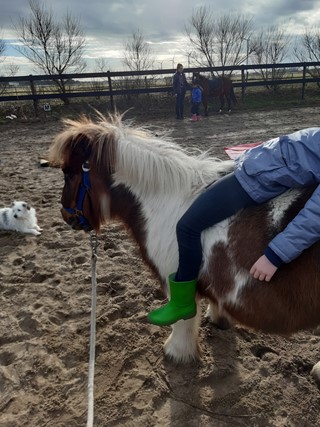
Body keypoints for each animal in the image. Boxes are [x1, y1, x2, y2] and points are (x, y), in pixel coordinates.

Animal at [48, 113, 320, 364]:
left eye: (68, 173)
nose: (66, 216)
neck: (165, 200)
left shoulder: (175, 274)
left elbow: (183, 316)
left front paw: (176, 352)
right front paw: (218, 318)